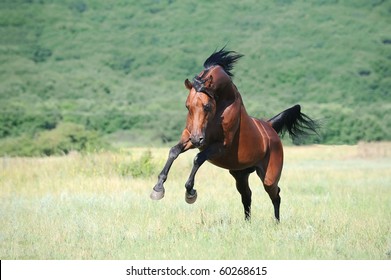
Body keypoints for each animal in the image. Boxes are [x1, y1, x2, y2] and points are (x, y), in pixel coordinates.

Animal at [150, 47, 318, 221]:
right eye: (187, 106)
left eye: (207, 106)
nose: (196, 140)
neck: (222, 105)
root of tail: (270, 126)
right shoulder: (191, 135)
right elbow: (174, 151)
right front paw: (158, 189)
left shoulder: (220, 146)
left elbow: (198, 158)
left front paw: (190, 192)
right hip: (240, 175)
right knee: (247, 196)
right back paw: (248, 223)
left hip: (269, 177)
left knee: (275, 194)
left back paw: (276, 222)